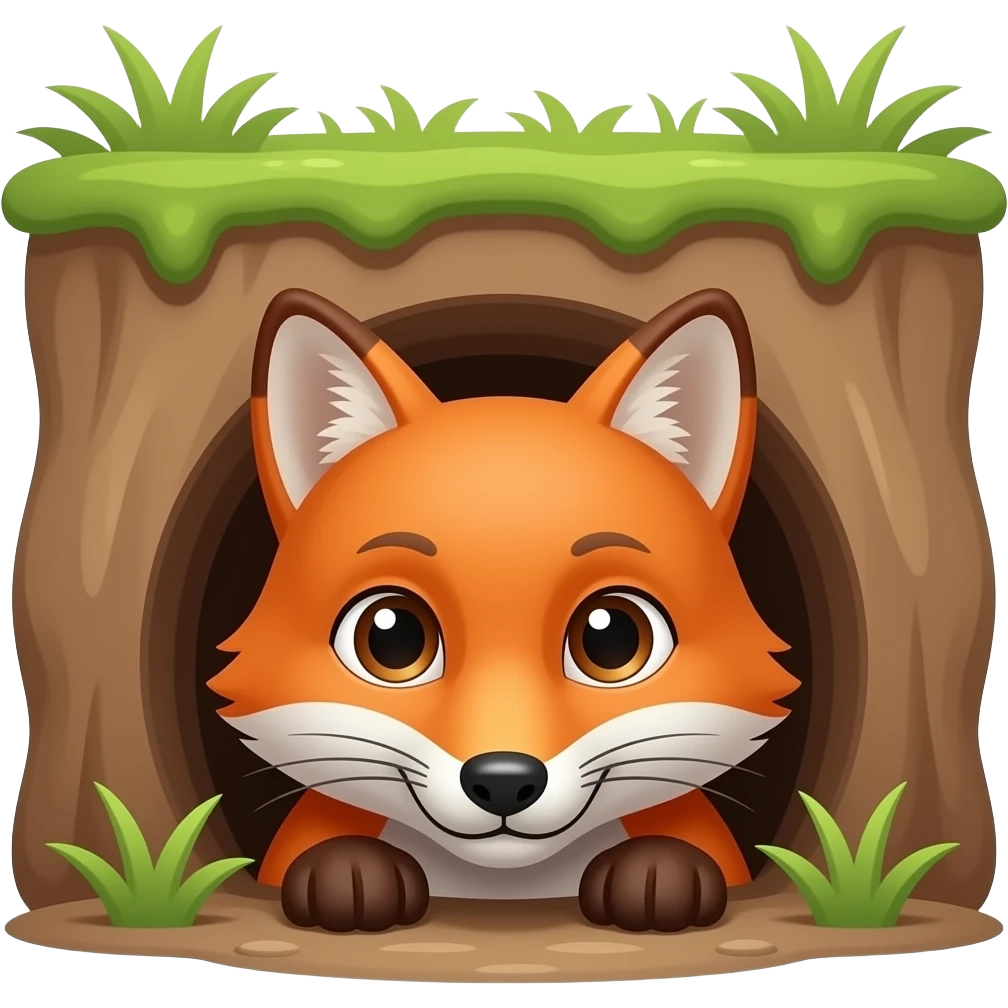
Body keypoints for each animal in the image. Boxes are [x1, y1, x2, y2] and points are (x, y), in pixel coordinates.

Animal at [209, 286, 798, 935]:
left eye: (612, 635)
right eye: (391, 635)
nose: (504, 781)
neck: (503, 890)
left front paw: (658, 873)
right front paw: (349, 874)